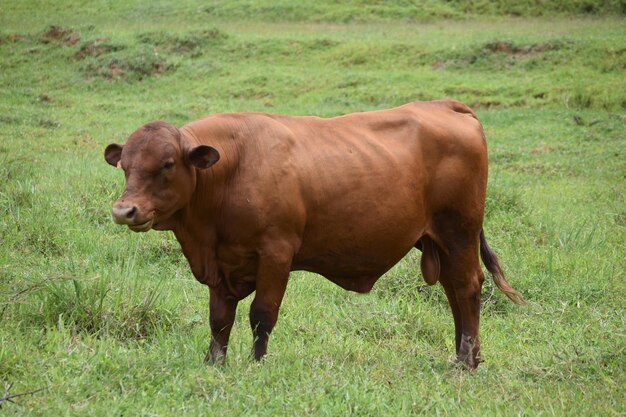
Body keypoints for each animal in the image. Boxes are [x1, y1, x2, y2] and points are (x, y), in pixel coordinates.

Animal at [103, 100, 520, 368]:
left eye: (168, 163)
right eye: (125, 165)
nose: (125, 211)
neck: (233, 169)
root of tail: (444, 104)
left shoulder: (276, 253)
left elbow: (261, 314)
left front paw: (256, 364)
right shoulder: (221, 265)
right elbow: (219, 319)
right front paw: (214, 363)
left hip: (459, 232)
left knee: (466, 287)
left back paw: (465, 361)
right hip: (441, 241)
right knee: (453, 291)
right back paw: (465, 355)